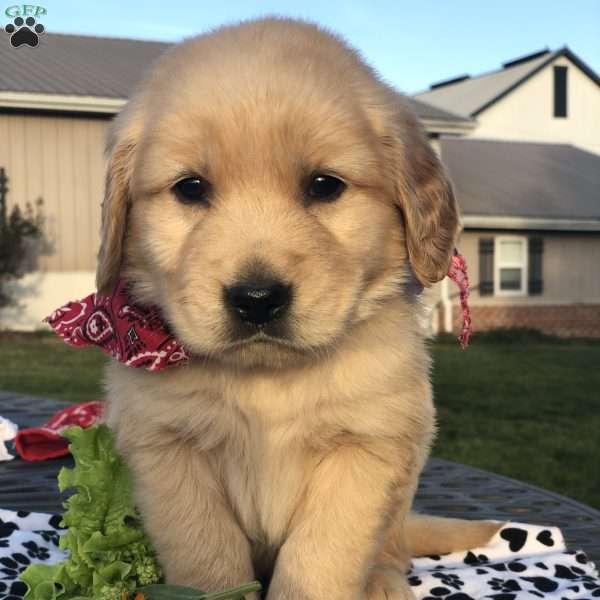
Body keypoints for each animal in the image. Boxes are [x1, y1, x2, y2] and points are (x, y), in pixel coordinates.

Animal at [99, 16, 502, 600]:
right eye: (190, 188)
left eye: (324, 185)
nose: (257, 299)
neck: (268, 381)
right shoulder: (168, 446)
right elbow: (208, 557)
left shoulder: (369, 447)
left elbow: (320, 558)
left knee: (394, 545)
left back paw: (383, 581)